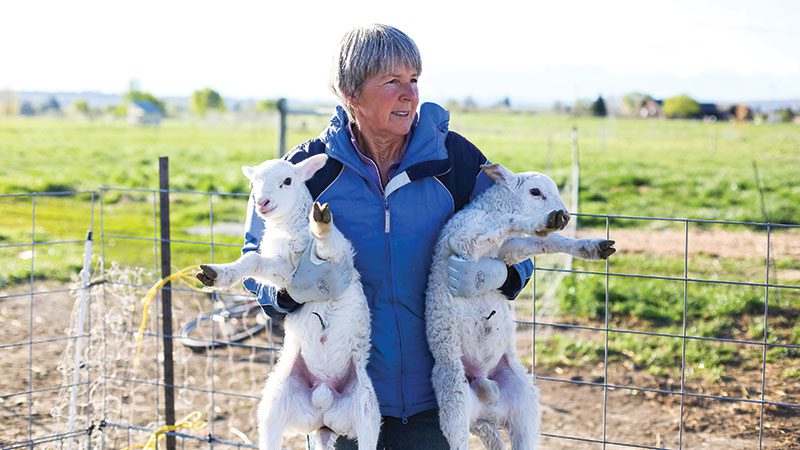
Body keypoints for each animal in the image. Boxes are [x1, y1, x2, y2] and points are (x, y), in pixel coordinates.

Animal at [195, 154, 380, 450]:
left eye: (288, 180)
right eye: (253, 184)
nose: (262, 203)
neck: (289, 230)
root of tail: (323, 408)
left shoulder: (340, 257)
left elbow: (328, 246)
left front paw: (321, 223)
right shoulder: (285, 272)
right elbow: (253, 260)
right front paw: (217, 274)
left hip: (365, 409)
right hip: (275, 404)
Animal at [424, 163, 620, 450]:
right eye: (535, 192)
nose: (564, 215)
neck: (488, 211)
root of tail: (483, 391)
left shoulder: (506, 250)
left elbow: (546, 243)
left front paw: (591, 247)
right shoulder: (462, 238)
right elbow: (510, 222)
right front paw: (542, 222)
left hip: (524, 403)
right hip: (455, 402)